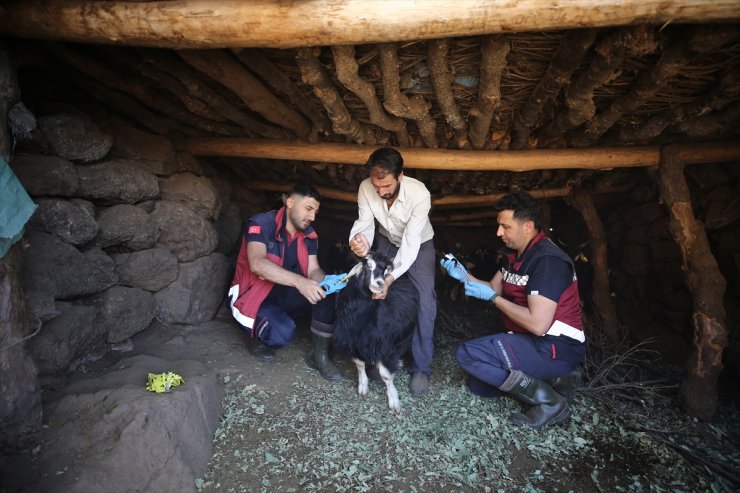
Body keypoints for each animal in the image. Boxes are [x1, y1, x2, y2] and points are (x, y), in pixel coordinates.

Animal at [332, 250, 420, 412]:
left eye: (385, 272)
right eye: (368, 266)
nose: (380, 283)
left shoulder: (383, 345)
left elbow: (385, 375)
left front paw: (394, 401)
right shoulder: (353, 342)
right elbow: (360, 364)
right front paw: (363, 388)